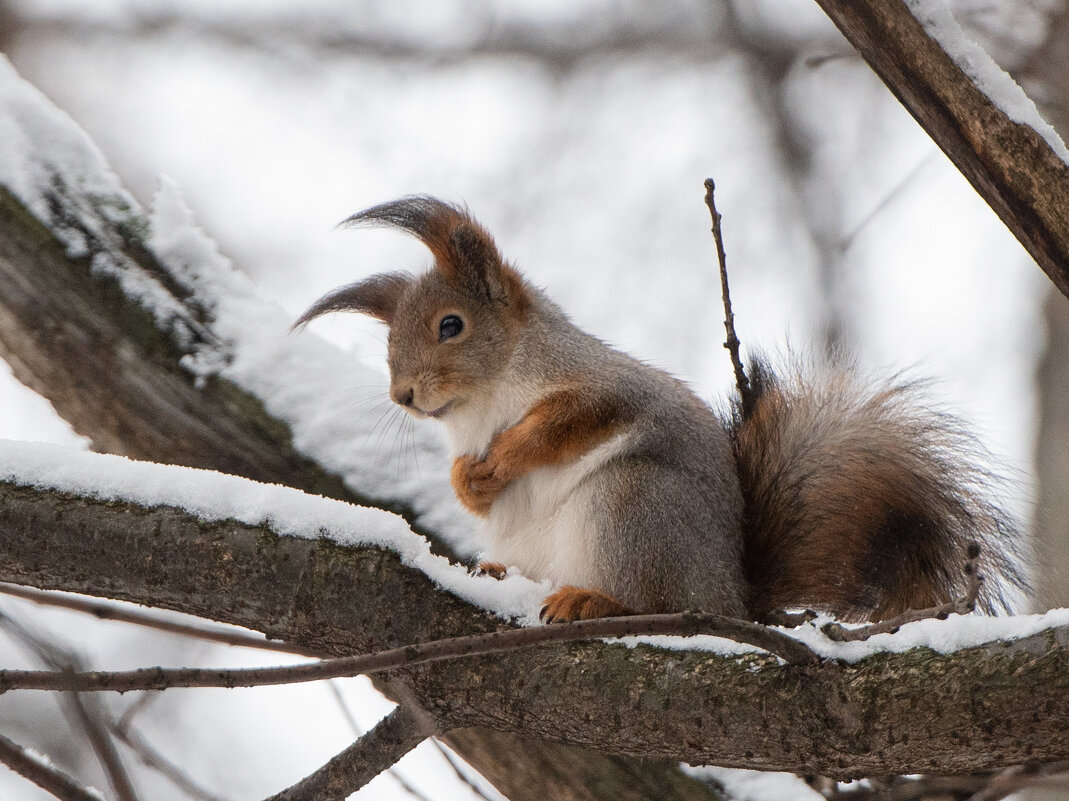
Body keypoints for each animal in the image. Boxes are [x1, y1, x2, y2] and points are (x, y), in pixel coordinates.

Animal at [295, 193, 1026, 624]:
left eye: (451, 325)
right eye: (389, 340)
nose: (403, 395)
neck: (483, 403)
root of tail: (730, 600)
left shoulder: (602, 387)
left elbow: (566, 424)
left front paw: (506, 457)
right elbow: (464, 480)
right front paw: (467, 482)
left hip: (632, 505)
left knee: (652, 600)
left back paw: (593, 597)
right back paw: (497, 570)